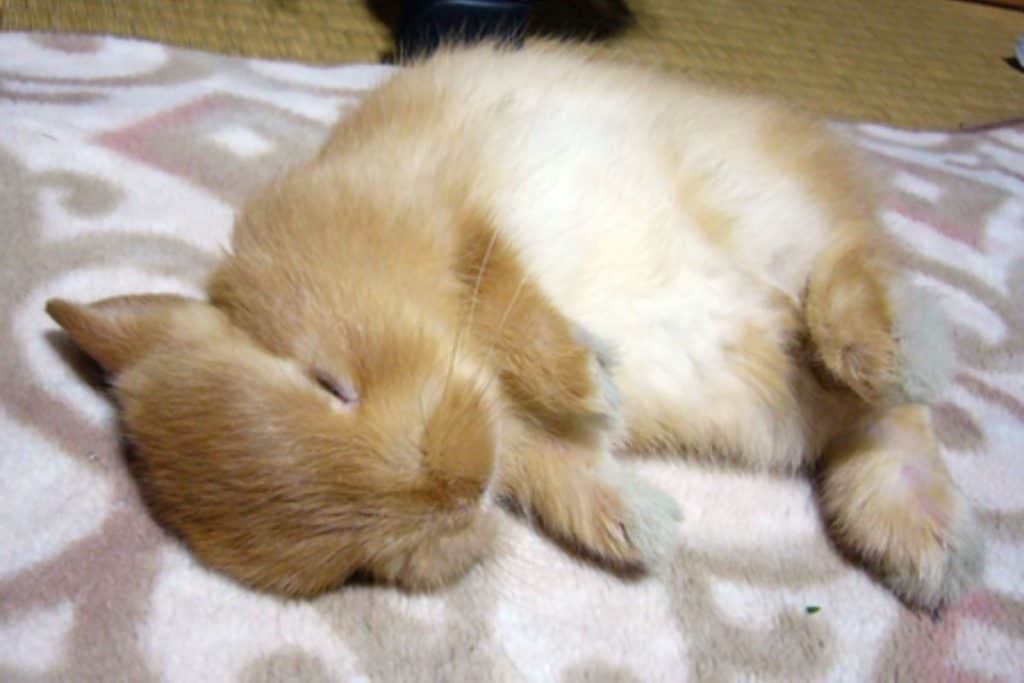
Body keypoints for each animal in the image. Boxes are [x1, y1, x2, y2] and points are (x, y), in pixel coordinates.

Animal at [49, 41, 983, 610]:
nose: (458, 489)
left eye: (329, 382)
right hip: (777, 394)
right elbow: (558, 464)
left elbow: (501, 293)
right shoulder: (519, 440)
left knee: (848, 275)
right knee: (875, 420)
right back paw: (928, 540)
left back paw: (894, 349)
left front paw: (588, 379)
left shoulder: (452, 207)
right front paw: (640, 526)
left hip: (765, 207)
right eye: (347, 562)